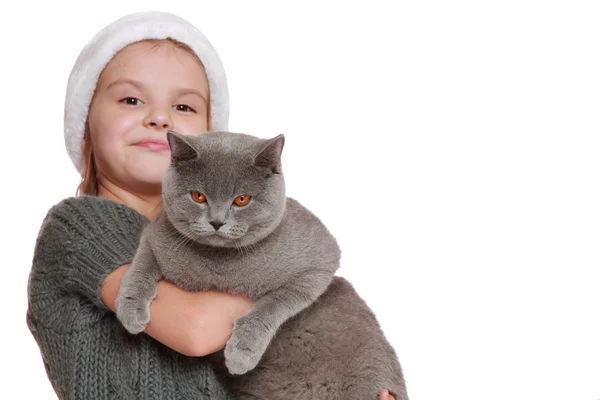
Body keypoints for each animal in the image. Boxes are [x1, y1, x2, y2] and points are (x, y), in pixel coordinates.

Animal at [116, 130, 408, 398]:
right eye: (198, 196)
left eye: (242, 199)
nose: (217, 222)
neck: (217, 264)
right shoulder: (155, 233)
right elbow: (142, 264)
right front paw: (130, 310)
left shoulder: (320, 260)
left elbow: (274, 302)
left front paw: (242, 352)